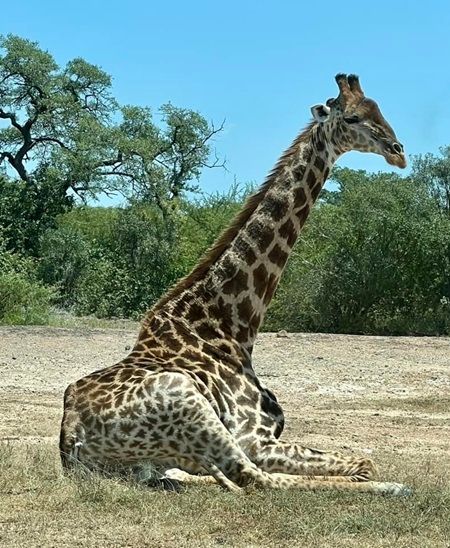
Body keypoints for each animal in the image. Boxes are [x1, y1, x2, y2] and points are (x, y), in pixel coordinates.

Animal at [60, 74, 412, 496]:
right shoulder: (255, 439)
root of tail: (70, 439)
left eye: (380, 110)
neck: (231, 326)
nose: (398, 151)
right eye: (354, 117)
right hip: (190, 405)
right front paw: (386, 482)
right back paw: (394, 487)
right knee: (255, 479)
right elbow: (363, 464)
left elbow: (359, 462)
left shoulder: (266, 437)